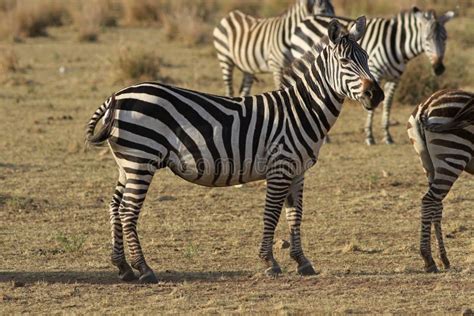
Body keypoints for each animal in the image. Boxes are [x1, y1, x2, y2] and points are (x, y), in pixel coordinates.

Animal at [84, 16, 382, 284]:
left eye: (367, 58)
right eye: (344, 62)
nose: (376, 95)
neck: (300, 110)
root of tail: (116, 97)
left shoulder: (297, 171)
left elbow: (295, 216)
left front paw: (302, 262)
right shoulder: (280, 167)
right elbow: (272, 214)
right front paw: (269, 262)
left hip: (127, 164)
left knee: (115, 207)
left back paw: (123, 267)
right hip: (140, 161)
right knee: (127, 212)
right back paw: (144, 269)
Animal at [288, 6, 456, 144]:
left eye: (445, 38)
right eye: (427, 38)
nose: (439, 68)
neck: (396, 45)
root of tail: (307, 19)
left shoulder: (395, 78)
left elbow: (387, 104)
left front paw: (387, 135)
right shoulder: (376, 73)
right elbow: (373, 108)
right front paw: (369, 136)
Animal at [406, 89, 472, 274]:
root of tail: (425, 105)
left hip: (428, 162)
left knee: (436, 204)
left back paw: (443, 258)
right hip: (453, 153)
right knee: (429, 200)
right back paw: (428, 259)